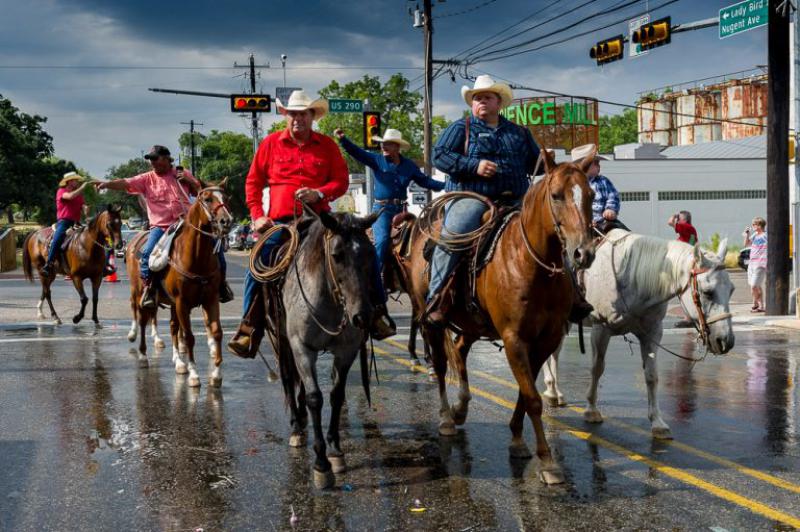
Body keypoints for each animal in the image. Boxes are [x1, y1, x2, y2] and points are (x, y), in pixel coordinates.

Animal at [125, 181, 231, 388]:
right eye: (207, 199)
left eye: (225, 197)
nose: (226, 221)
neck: (196, 257)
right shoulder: (182, 302)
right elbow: (189, 337)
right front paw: (194, 375)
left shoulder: (210, 299)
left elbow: (216, 331)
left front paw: (215, 374)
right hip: (140, 293)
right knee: (142, 319)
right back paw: (143, 355)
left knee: (173, 326)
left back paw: (179, 362)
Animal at [276, 206, 380, 488]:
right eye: (337, 256)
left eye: (371, 253)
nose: (363, 316)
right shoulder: (301, 347)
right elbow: (315, 398)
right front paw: (321, 463)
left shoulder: (347, 351)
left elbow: (336, 395)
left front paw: (335, 451)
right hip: (283, 341)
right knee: (289, 380)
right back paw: (296, 427)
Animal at [404, 148, 596, 484]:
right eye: (556, 195)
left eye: (590, 194)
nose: (583, 253)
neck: (532, 265)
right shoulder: (514, 338)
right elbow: (532, 398)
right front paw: (548, 462)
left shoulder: (545, 339)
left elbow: (525, 392)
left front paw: (518, 440)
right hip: (430, 321)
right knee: (440, 365)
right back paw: (446, 418)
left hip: (472, 323)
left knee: (459, 350)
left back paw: (462, 407)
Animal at [540, 231, 736, 438]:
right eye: (707, 292)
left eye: (732, 290)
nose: (726, 341)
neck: (631, 278)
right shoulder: (601, 329)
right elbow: (597, 368)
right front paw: (591, 410)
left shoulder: (652, 334)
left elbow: (651, 376)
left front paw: (657, 422)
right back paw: (552, 390)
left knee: (554, 352)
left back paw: (556, 392)